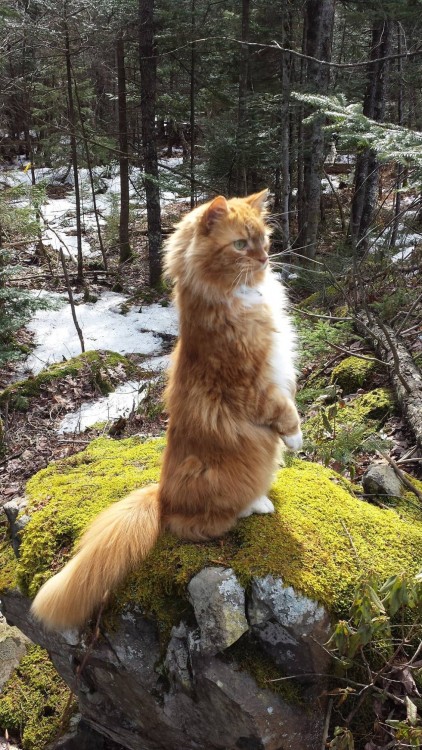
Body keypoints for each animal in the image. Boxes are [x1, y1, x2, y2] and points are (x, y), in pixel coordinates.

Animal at [32, 191, 304, 632]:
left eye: (264, 240)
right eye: (240, 245)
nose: (265, 259)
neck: (239, 298)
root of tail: (161, 496)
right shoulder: (251, 385)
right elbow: (286, 412)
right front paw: (297, 438)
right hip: (225, 482)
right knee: (212, 520)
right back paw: (258, 503)